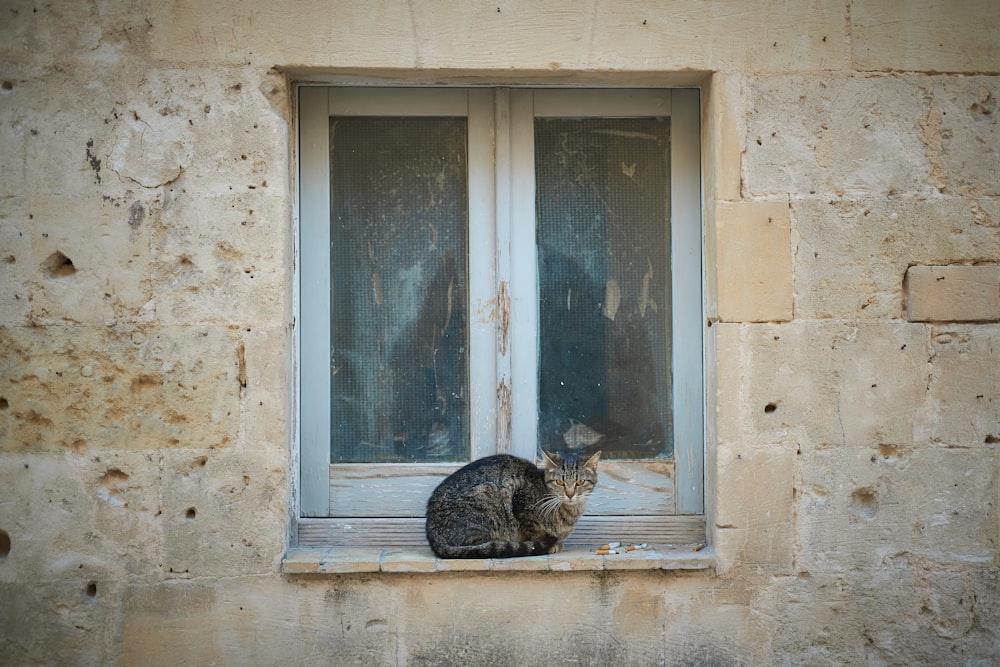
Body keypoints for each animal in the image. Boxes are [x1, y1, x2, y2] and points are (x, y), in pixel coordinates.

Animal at [424, 448, 600, 560]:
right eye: (560, 482)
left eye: (580, 482)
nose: (570, 494)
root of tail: (432, 533)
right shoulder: (516, 493)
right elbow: (535, 532)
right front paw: (549, 544)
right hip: (487, 493)